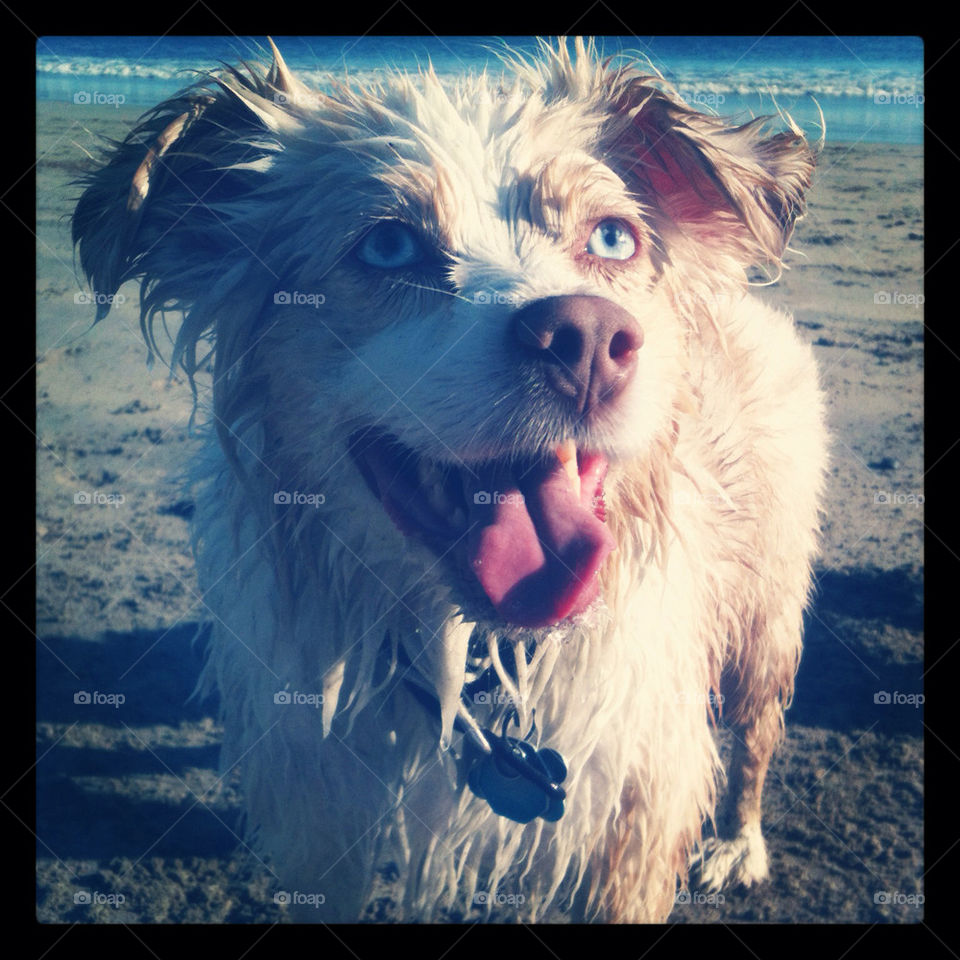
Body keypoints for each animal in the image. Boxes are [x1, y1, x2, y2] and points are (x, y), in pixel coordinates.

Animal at [73, 39, 824, 924]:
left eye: (613, 239)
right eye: (388, 246)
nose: (587, 336)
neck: (468, 647)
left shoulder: (631, 816)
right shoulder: (319, 815)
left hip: (764, 612)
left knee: (759, 732)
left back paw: (739, 841)